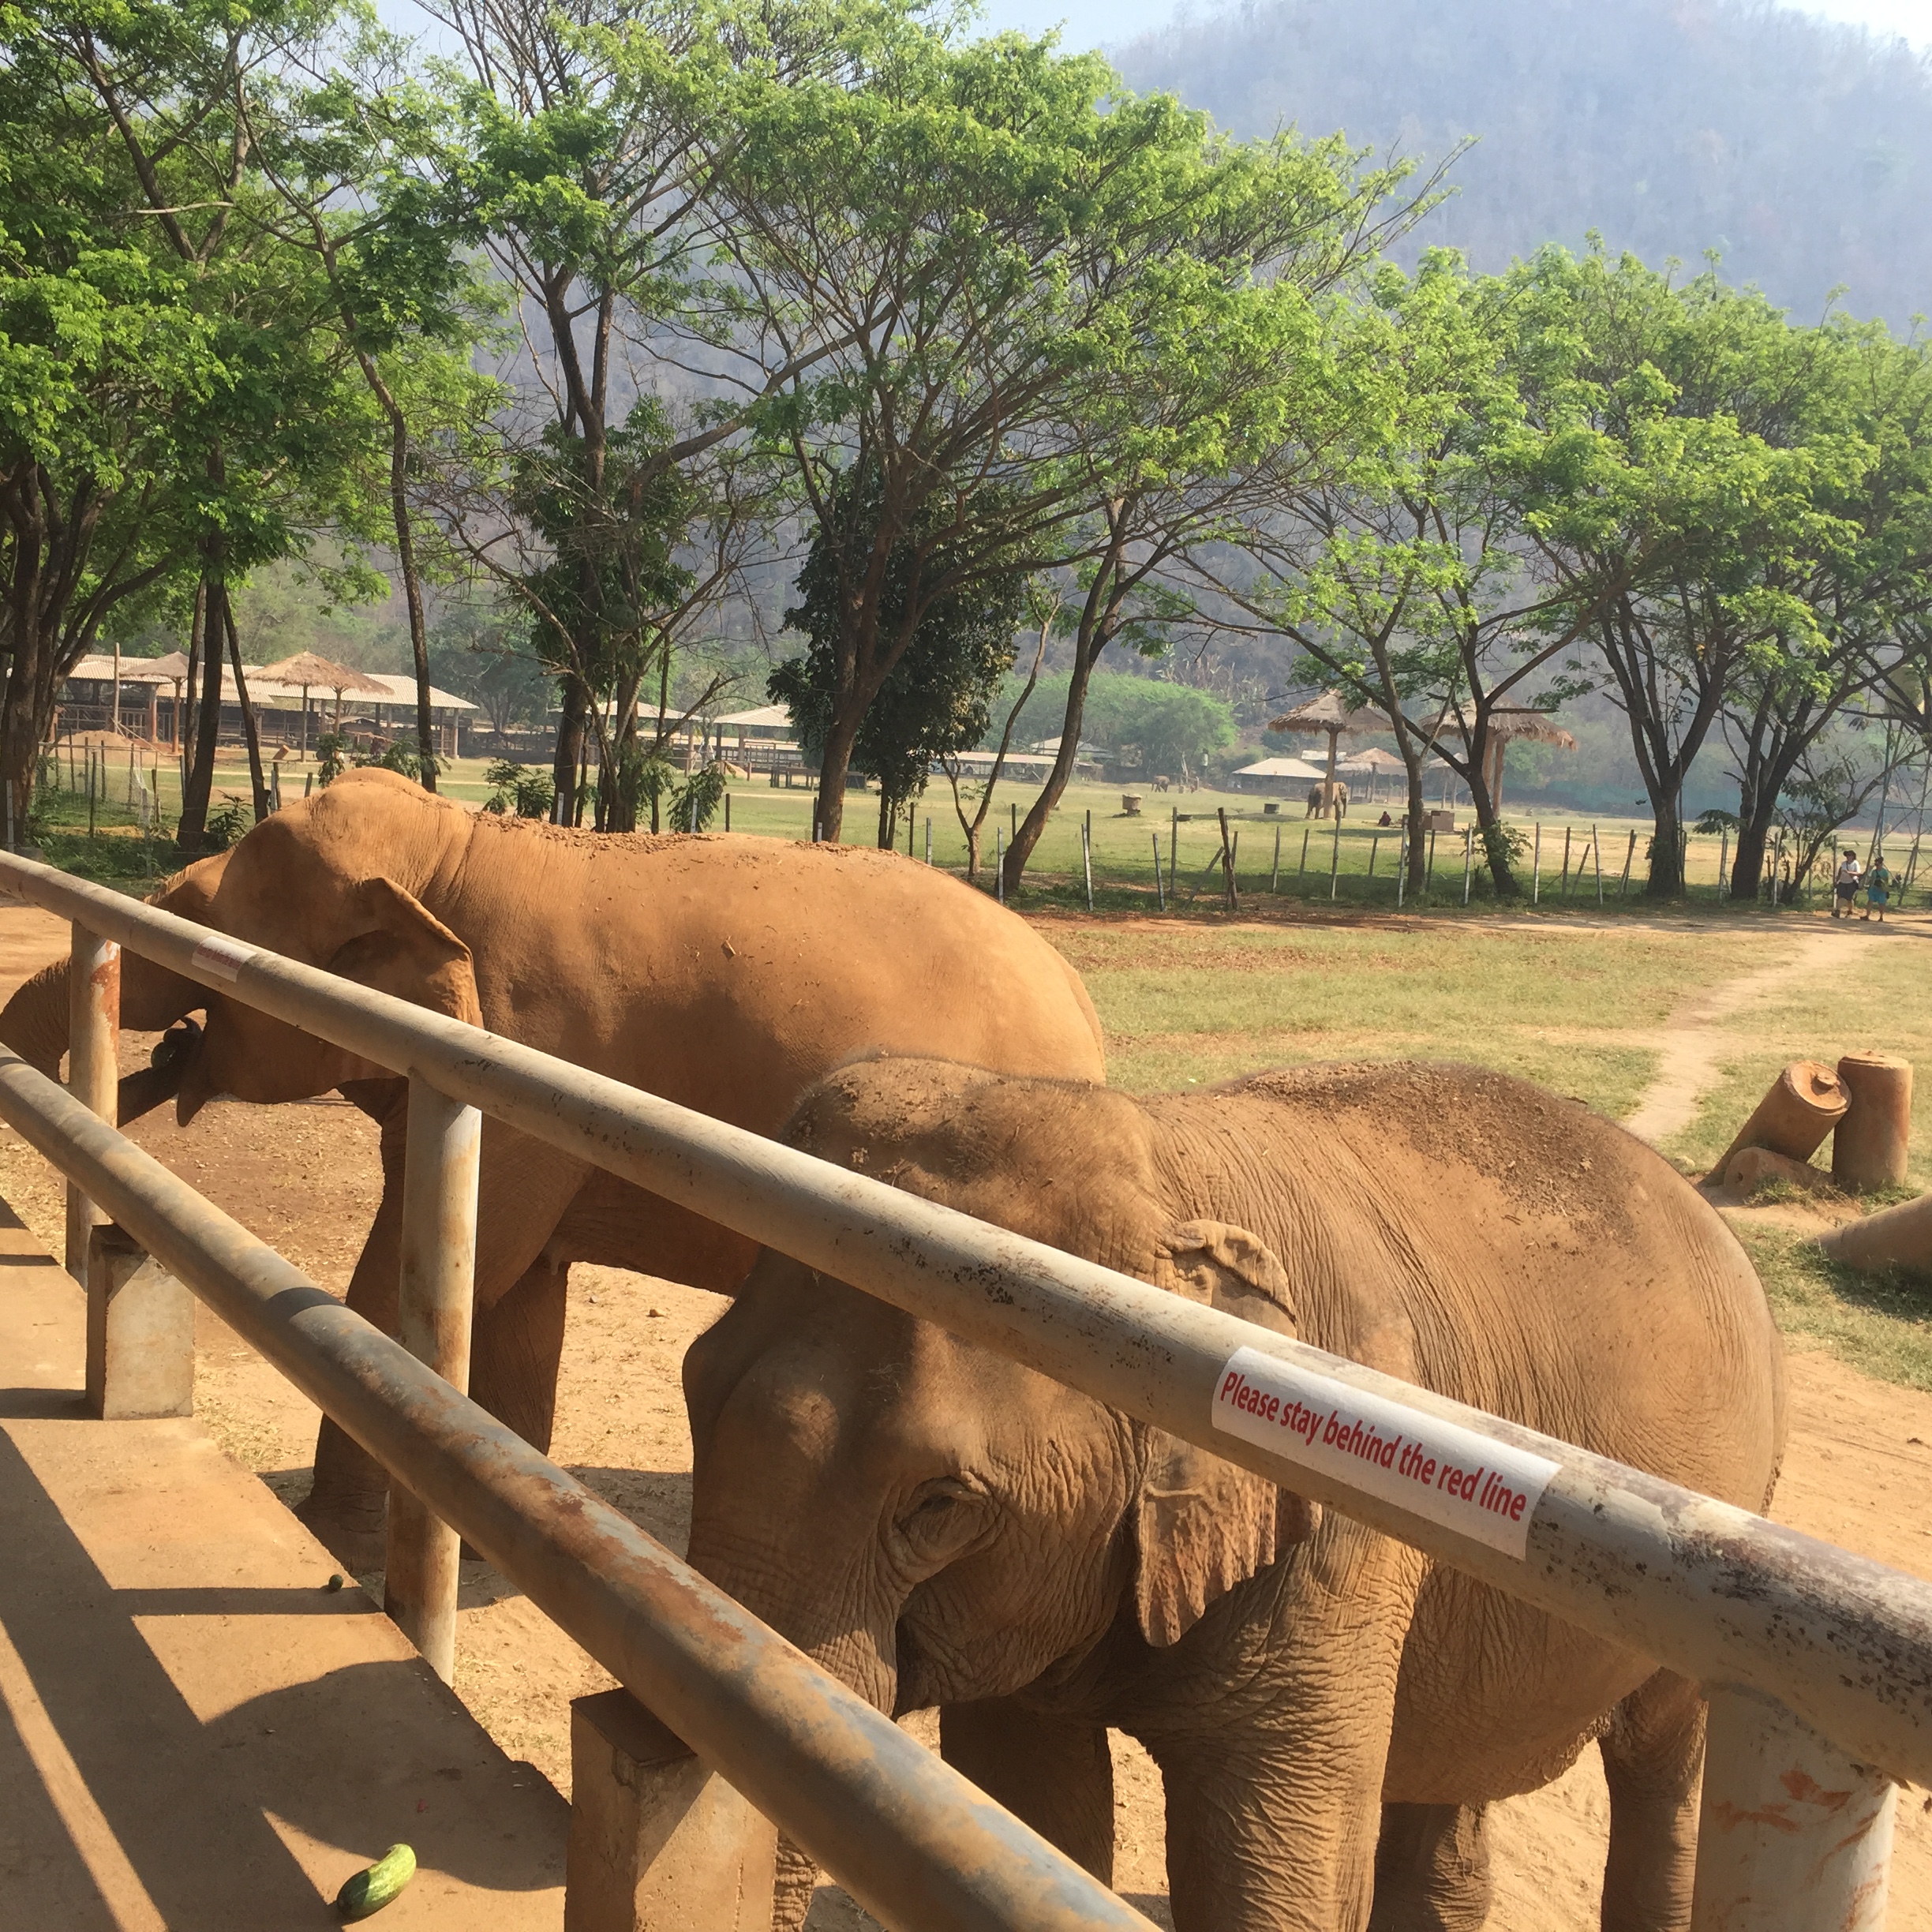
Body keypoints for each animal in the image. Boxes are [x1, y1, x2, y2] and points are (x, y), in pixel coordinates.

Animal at [0, 770, 1106, 1568]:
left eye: (194, 921)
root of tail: (1084, 1010)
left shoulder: (524, 1051)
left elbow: (426, 1270)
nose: (165, 1054)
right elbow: (522, 1295)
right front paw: (501, 1537)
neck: (451, 847)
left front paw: (336, 1545)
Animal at [684, 1055, 1786, 1931]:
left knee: (1664, 1762)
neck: (1168, 1170)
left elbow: (1271, 1872)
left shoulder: (1338, 1516)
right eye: (693, 1382)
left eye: (938, 1506)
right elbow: (1028, 1810)